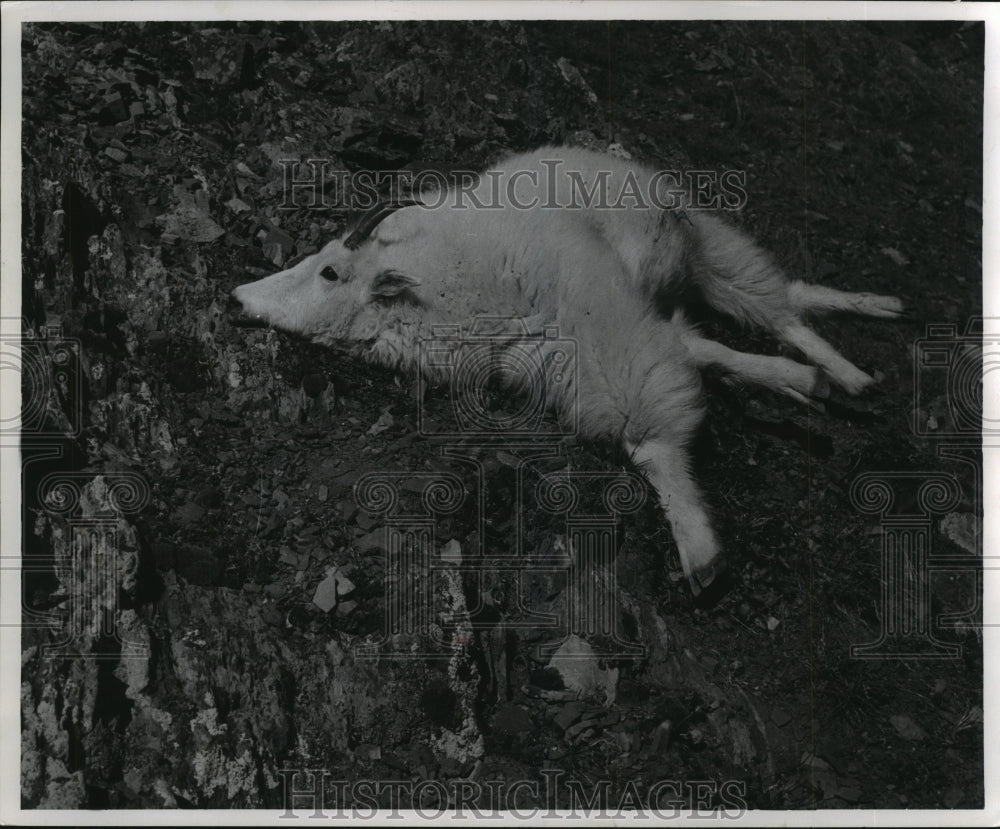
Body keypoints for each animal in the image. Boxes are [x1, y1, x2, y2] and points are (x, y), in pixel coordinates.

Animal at [230, 144, 904, 596]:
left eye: (329, 272)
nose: (238, 298)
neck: (447, 277)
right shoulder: (542, 356)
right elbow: (684, 367)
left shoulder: (595, 318)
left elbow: (650, 433)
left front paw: (700, 554)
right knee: (718, 333)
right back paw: (822, 373)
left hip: (704, 246)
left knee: (778, 306)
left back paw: (852, 369)